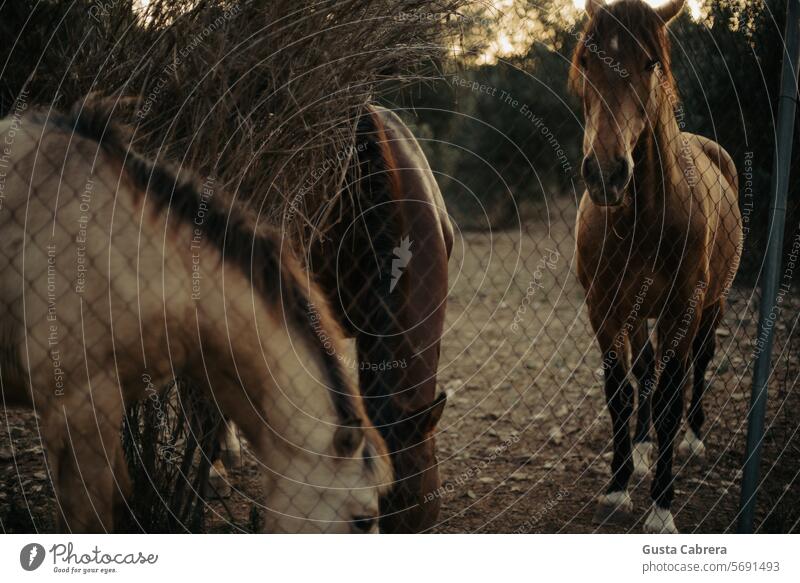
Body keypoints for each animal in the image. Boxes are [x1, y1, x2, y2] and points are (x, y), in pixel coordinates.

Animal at [572, 0, 740, 532]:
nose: (606, 174)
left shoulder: (682, 309)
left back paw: (694, 438)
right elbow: (619, 393)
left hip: (713, 303)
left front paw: (662, 506)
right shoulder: (604, 307)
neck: (642, 215)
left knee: (699, 363)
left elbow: (669, 399)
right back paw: (643, 448)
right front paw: (618, 485)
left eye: (650, 64)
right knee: (645, 371)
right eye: (587, 61)